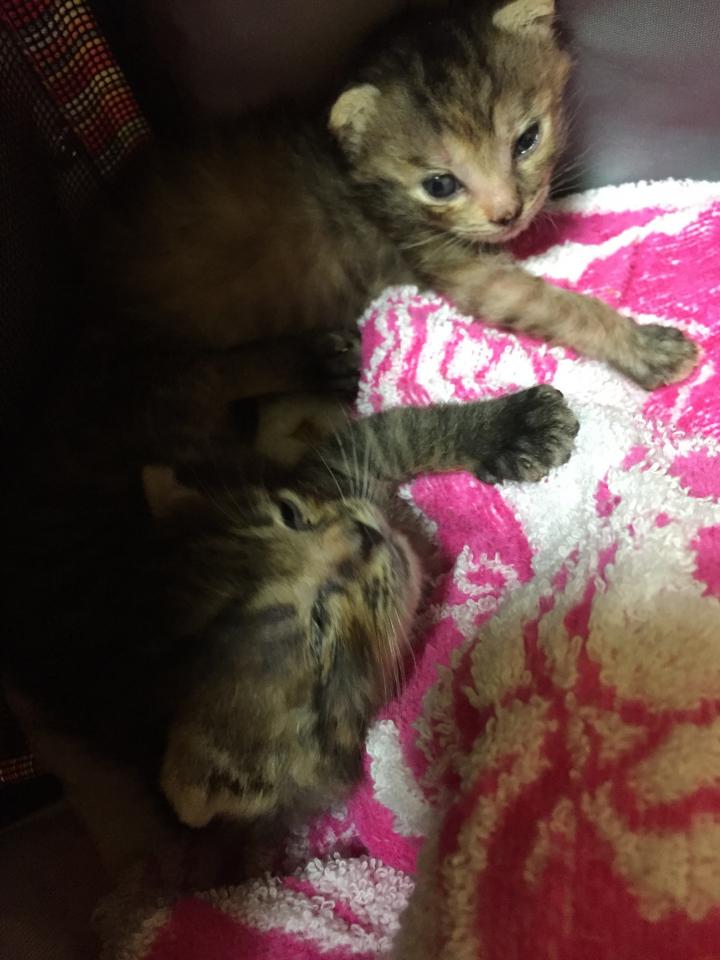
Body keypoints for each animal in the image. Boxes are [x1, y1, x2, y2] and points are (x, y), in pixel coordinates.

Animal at [4, 385, 578, 876]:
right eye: (319, 628)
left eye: (291, 514)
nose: (365, 535)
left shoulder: (328, 469)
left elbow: (397, 432)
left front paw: (513, 427)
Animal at [86, 0, 696, 469]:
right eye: (440, 184)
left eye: (526, 140)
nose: (507, 213)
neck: (357, 170)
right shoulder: (449, 261)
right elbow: (556, 304)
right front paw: (642, 346)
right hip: (169, 377)